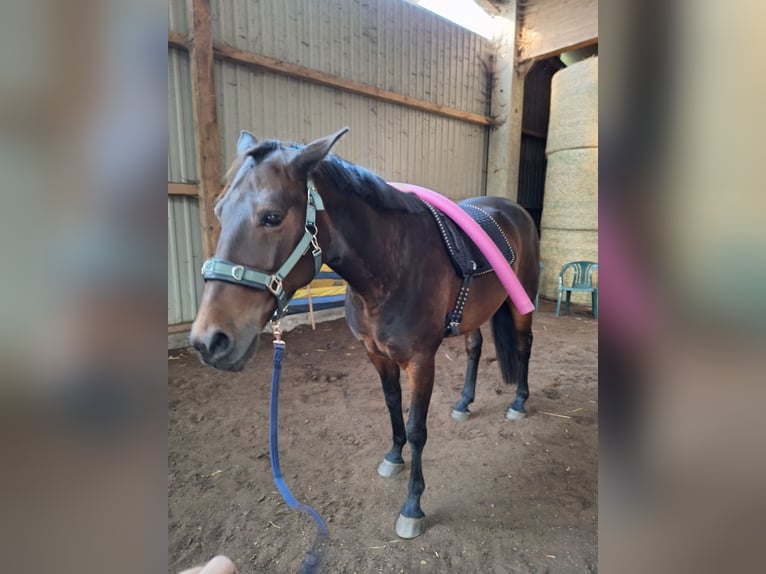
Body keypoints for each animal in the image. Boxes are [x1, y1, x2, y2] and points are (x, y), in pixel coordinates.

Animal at [190, 128, 544, 544]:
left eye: (272, 216)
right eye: (219, 210)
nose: (209, 340)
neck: (393, 265)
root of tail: (513, 210)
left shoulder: (421, 362)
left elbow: (417, 428)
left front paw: (412, 507)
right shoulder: (376, 355)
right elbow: (392, 406)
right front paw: (393, 457)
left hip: (521, 307)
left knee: (523, 347)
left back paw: (519, 402)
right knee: (475, 348)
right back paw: (463, 403)